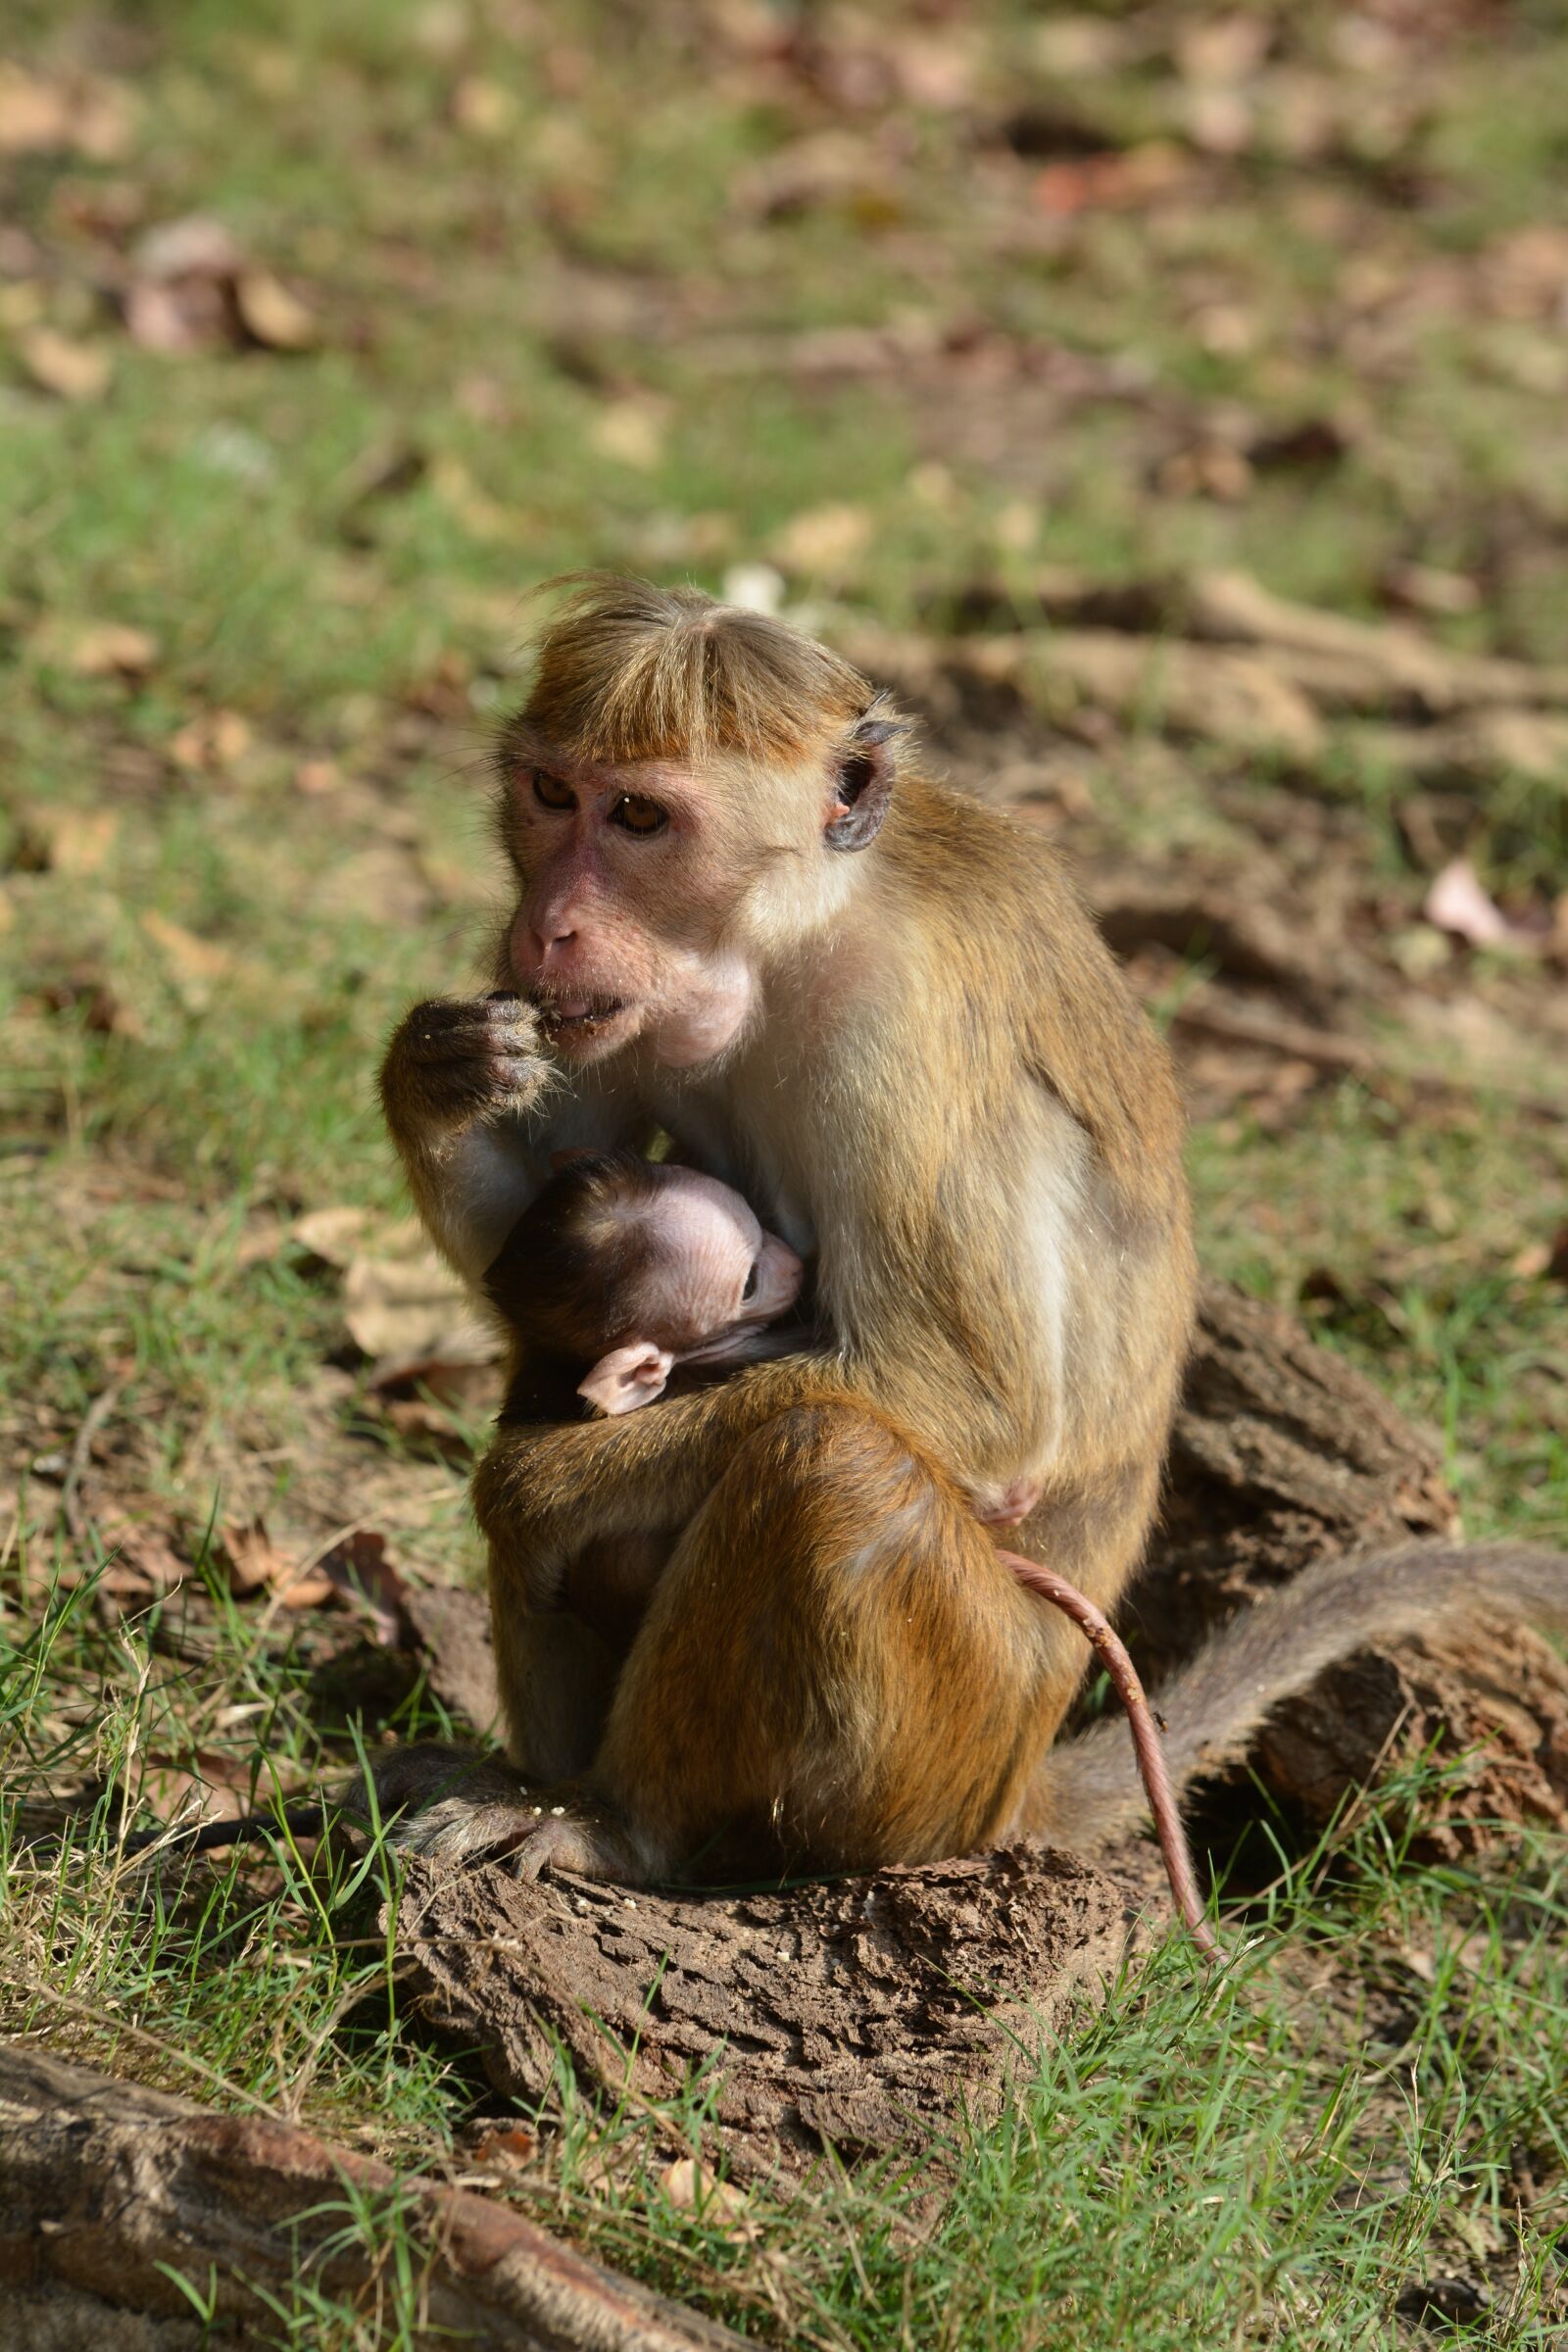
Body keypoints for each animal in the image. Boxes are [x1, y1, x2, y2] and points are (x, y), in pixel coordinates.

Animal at [372, 574, 1568, 1894]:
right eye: (550, 795)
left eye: (638, 816)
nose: (546, 926)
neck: (789, 937)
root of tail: (1016, 1781)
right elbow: (535, 1249)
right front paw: (434, 1074)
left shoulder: (899, 1033)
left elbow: (975, 1404)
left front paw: (529, 1488)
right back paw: (534, 1782)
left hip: (946, 1733)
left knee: (830, 1461)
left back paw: (619, 1822)